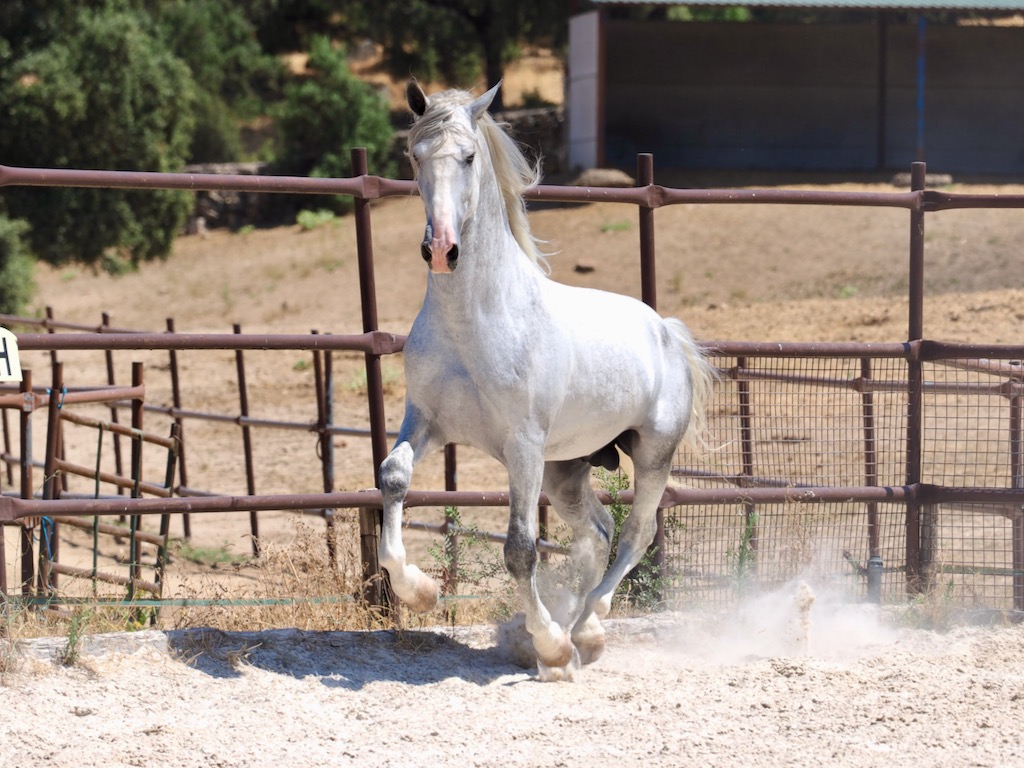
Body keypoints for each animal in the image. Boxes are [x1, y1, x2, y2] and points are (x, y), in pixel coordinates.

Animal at [378, 79, 715, 680]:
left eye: (468, 157)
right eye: (414, 156)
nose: (441, 250)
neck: (475, 321)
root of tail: (667, 331)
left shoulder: (524, 445)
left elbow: (520, 548)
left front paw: (551, 648)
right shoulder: (428, 421)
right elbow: (393, 478)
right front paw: (420, 592)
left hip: (651, 455)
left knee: (635, 534)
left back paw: (585, 629)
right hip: (566, 471)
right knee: (599, 532)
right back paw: (581, 627)